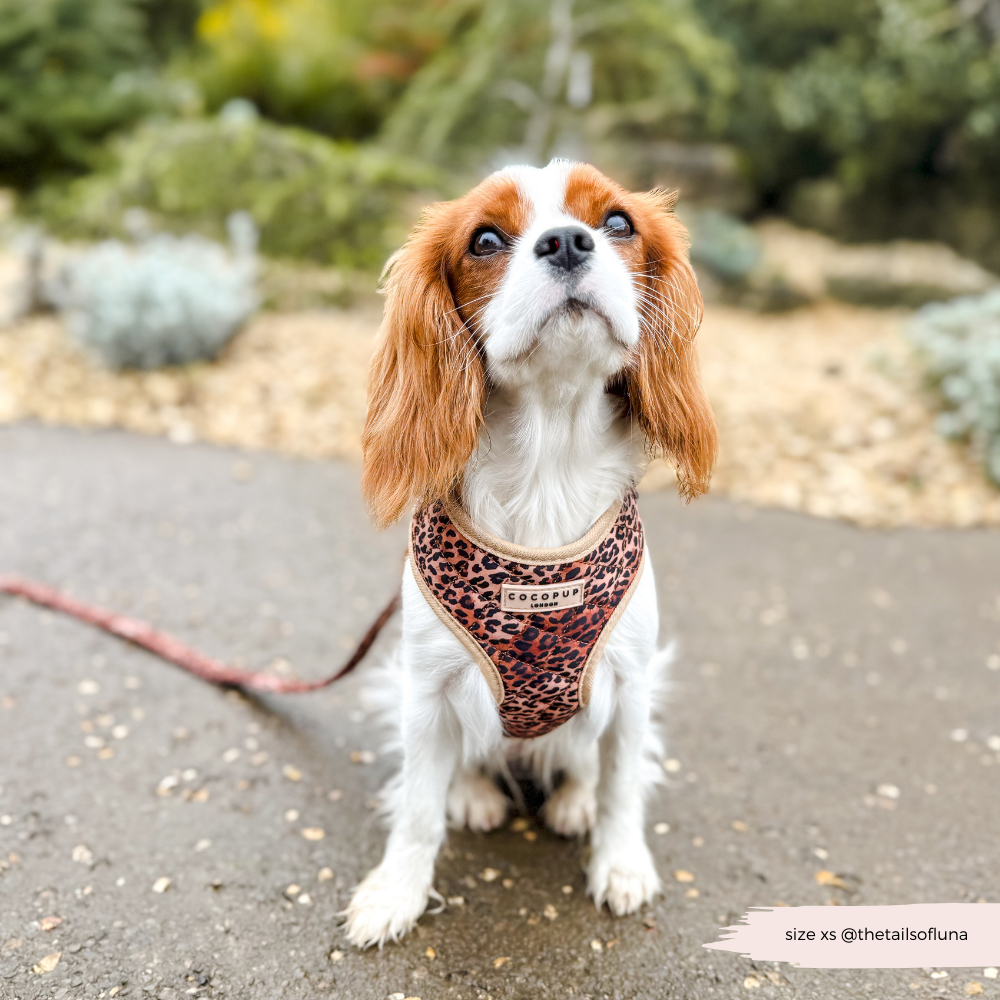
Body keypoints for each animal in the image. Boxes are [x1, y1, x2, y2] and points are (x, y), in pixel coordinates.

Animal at [346, 158, 720, 944]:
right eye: (486, 239)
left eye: (617, 223)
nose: (570, 242)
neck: (549, 460)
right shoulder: (425, 690)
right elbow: (417, 810)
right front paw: (395, 894)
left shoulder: (632, 684)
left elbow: (622, 787)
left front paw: (621, 864)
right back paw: (473, 792)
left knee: (586, 763)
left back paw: (573, 800)